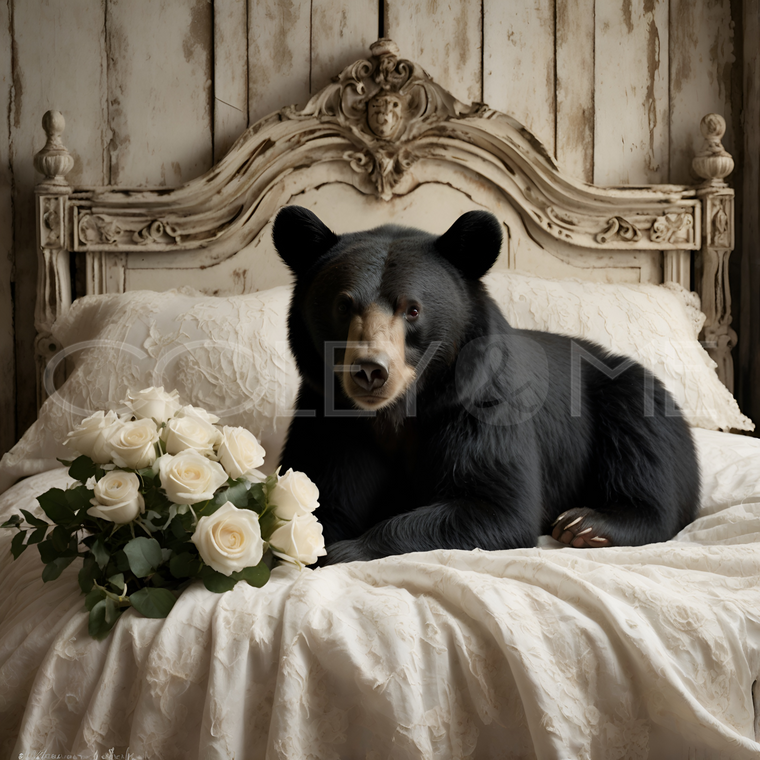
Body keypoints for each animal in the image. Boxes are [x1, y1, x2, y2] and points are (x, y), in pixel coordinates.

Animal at [272, 205, 700, 564]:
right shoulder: (330, 418)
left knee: (645, 458)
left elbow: (496, 504)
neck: (399, 411)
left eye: (412, 309)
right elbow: (322, 489)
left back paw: (586, 524)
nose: (370, 370)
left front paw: (346, 549)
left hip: (629, 397)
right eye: (343, 305)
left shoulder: (481, 404)